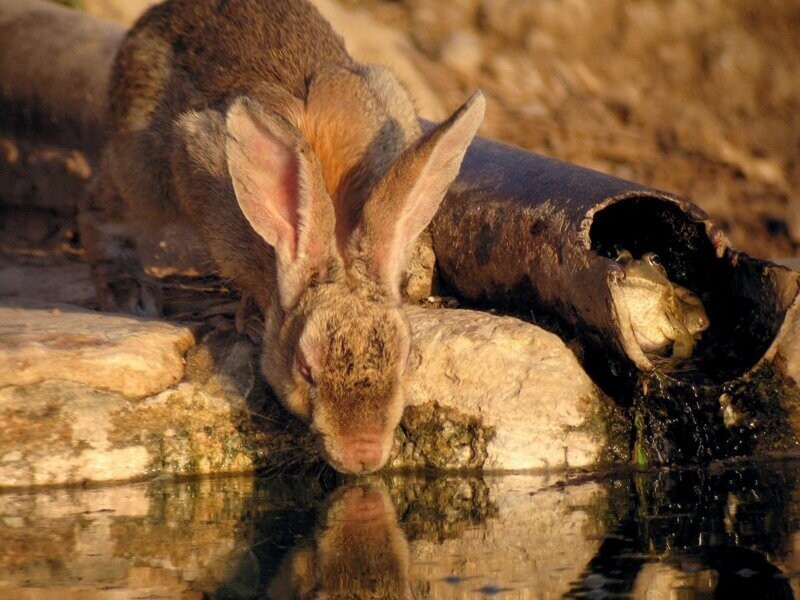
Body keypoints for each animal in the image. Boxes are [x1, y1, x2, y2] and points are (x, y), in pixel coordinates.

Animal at [78, 0, 484, 474]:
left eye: (404, 362)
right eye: (305, 369)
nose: (363, 456)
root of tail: (155, 17)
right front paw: (251, 320)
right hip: (146, 173)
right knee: (101, 208)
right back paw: (127, 290)